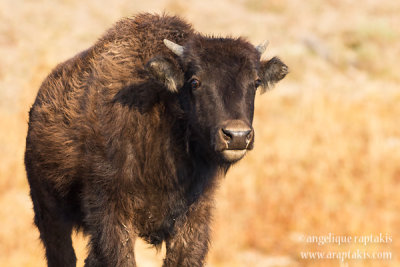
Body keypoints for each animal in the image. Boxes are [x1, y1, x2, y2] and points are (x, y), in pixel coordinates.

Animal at [24, 13, 288, 266]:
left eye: (255, 82)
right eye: (195, 81)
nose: (237, 136)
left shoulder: (193, 216)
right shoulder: (112, 214)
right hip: (49, 212)